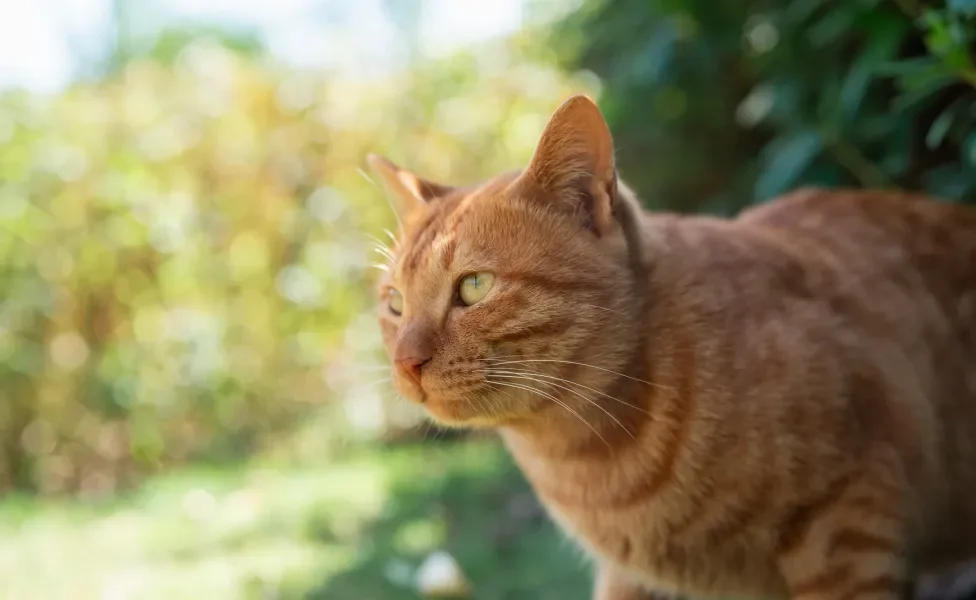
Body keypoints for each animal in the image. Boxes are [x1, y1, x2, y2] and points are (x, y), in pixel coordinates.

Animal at [366, 96, 976, 596]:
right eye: (395, 303)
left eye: (474, 286)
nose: (404, 363)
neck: (590, 463)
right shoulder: (626, 579)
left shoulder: (848, 528)